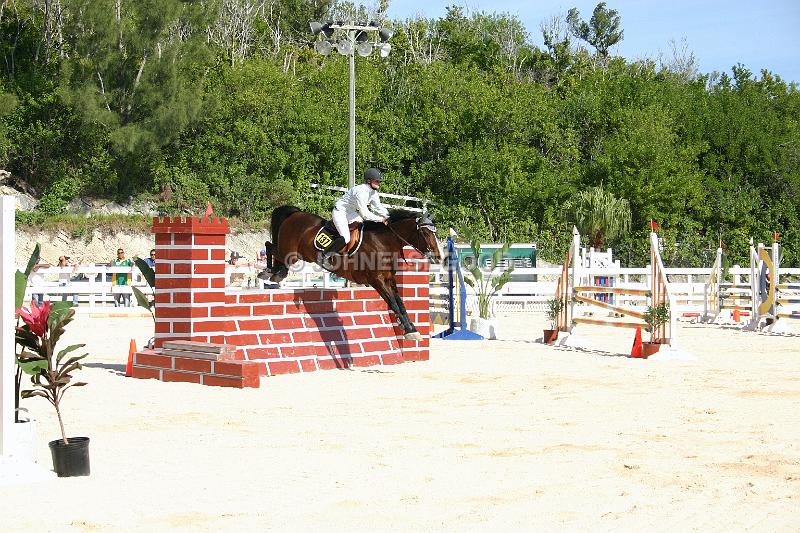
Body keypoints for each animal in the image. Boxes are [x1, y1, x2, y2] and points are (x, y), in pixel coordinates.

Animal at [262, 206, 440, 338]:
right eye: (425, 233)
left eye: (435, 232)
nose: (437, 256)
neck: (383, 242)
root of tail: (295, 213)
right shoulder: (376, 280)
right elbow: (392, 302)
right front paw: (408, 330)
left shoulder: (389, 279)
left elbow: (399, 302)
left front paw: (410, 327)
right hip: (290, 252)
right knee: (269, 246)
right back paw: (269, 273)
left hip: (296, 254)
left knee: (276, 253)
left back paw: (276, 273)